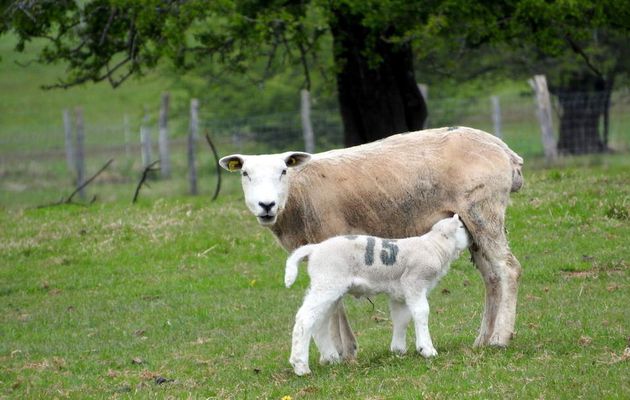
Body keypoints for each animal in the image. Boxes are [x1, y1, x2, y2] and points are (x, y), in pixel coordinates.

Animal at [220, 126, 524, 358]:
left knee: (508, 268)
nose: (266, 205)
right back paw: (483, 339)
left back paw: (500, 338)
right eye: (245, 174)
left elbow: (334, 302)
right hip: (472, 224)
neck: (298, 197)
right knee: (491, 277)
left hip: (483, 210)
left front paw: (342, 351)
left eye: (284, 171)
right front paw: (343, 350)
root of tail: (505, 151)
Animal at [284, 216, 472, 376]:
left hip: (330, 288)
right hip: (327, 283)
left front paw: (398, 350)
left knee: (320, 323)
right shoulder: (414, 282)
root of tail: (315, 248)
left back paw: (331, 358)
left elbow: (401, 318)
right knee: (304, 318)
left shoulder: (399, 292)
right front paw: (426, 349)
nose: (472, 238)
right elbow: (421, 312)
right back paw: (300, 366)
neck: (434, 247)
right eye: (461, 227)